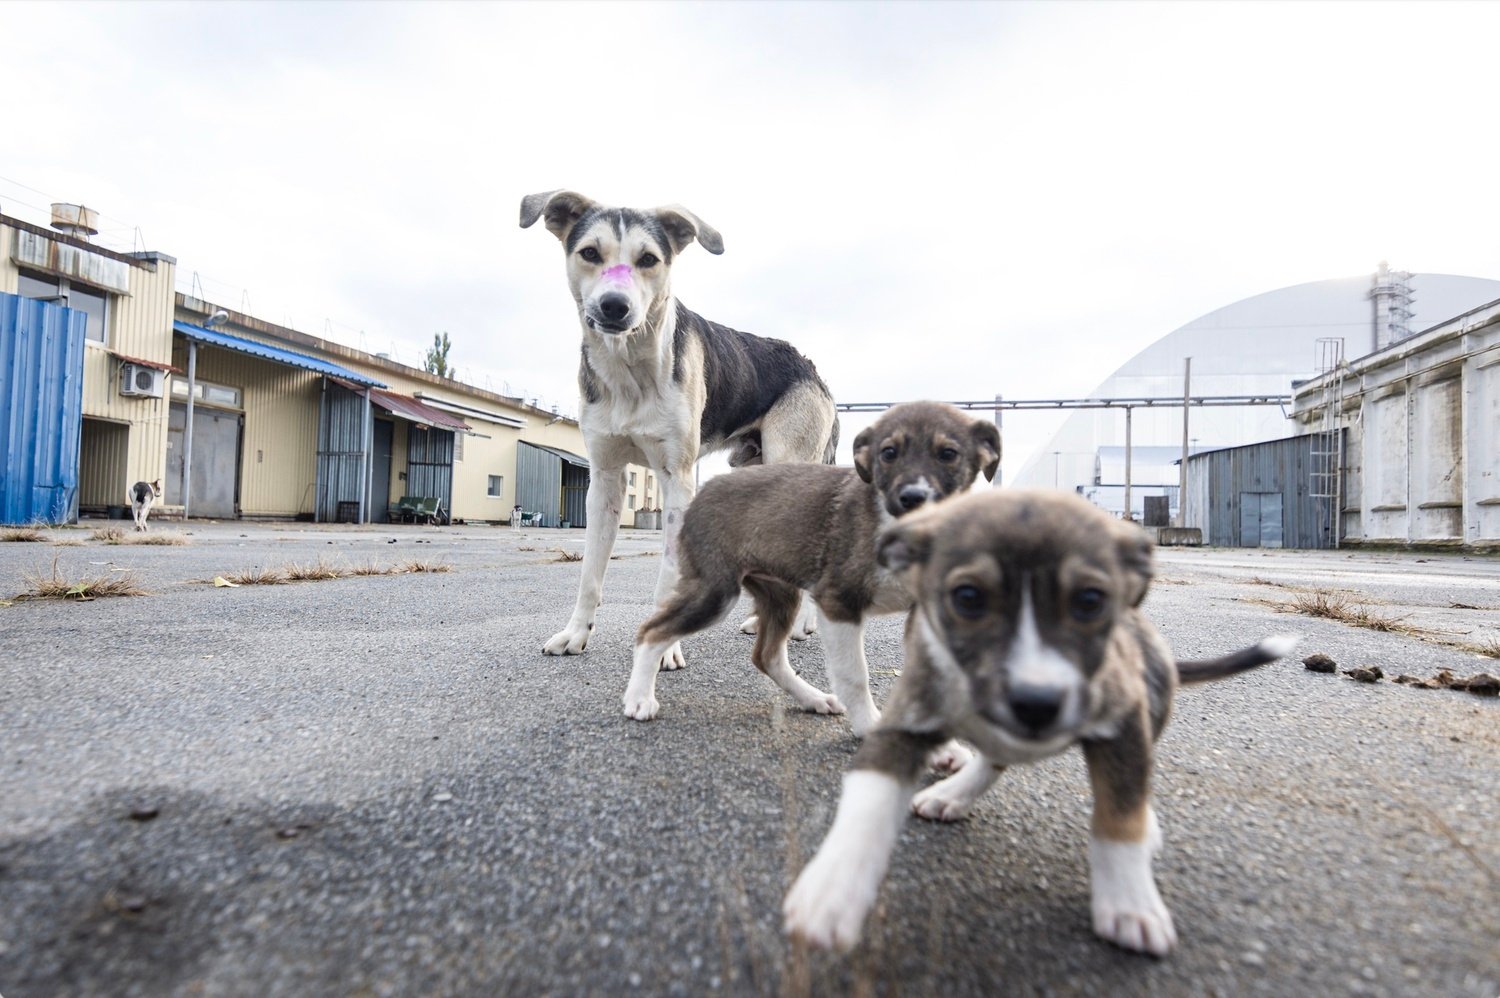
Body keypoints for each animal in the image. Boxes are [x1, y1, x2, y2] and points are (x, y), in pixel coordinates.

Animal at [522, 189, 840, 666]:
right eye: (590, 253)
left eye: (649, 259)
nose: (614, 306)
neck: (629, 371)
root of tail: (812, 369)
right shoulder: (605, 481)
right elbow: (590, 574)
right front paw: (576, 633)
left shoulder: (677, 480)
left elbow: (669, 578)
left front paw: (664, 649)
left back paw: (799, 627)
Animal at [627, 402, 1002, 729]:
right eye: (888, 453)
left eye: (948, 454)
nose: (912, 497)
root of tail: (706, 487)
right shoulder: (838, 602)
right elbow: (854, 674)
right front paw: (869, 725)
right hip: (714, 590)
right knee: (651, 631)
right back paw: (638, 698)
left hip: (780, 592)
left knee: (767, 656)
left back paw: (813, 698)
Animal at [786, 489, 1302, 960]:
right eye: (968, 597)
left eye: (1090, 600)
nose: (1035, 703)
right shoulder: (907, 721)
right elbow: (868, 800)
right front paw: (831, 892)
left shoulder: (1122, 723)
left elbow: (1118, 817)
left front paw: (1130, 904)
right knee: (994, 759)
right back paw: (953, 794)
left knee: (1127, 787)